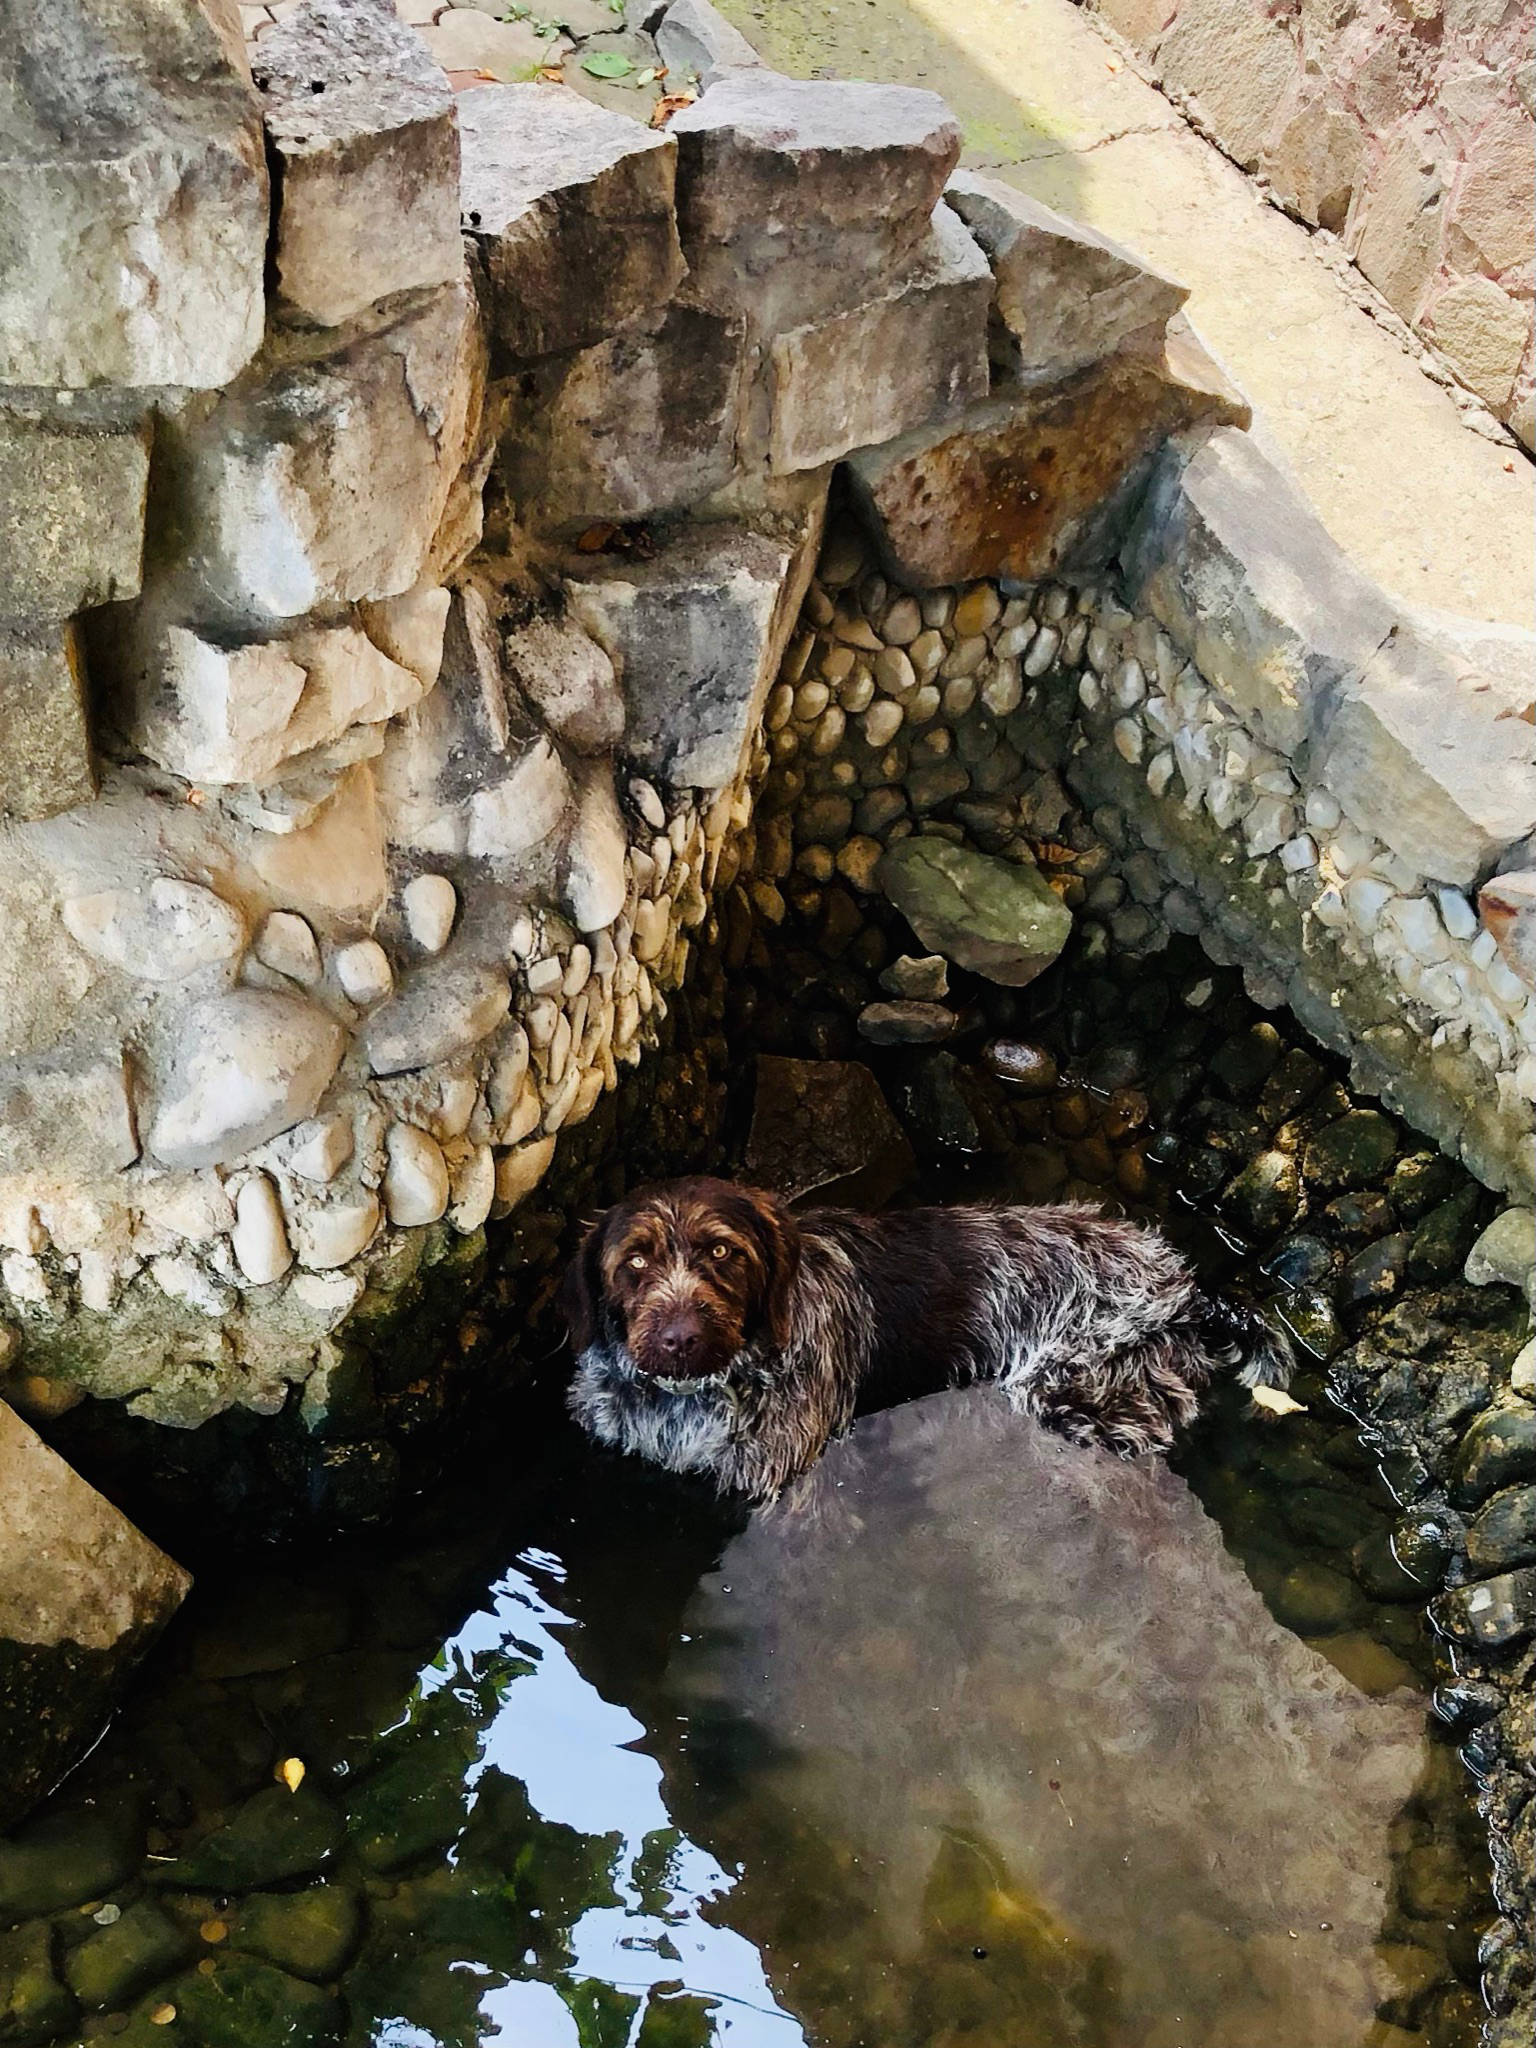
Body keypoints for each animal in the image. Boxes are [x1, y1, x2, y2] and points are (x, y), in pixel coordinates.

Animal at [561, 1179, 1294, 1499]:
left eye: (722, 1253)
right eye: (634, 1261)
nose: (679, 1337)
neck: (689, 1398)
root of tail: (1187, 1292)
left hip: (1077, 1389)